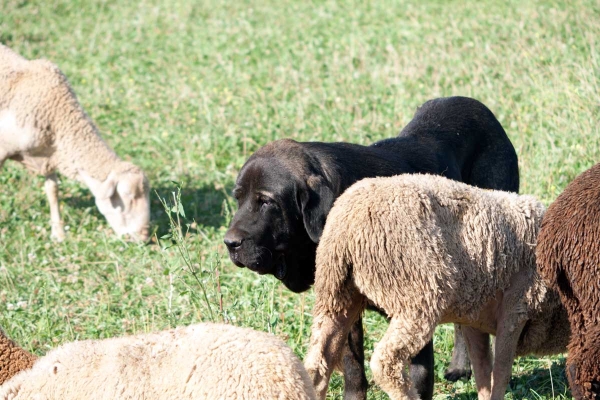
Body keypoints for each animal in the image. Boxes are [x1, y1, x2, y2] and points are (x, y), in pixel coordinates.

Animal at [223, 95, 516, 398]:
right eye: (238, 198)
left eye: (266, 201)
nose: (230, 243)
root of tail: (479, 107)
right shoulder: (345, 311)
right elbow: (354, 371)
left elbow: (419, 378)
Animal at [302, 174, 568, 400]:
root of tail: (346, 228)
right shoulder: (517, 306)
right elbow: (501, 372)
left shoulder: (474, 316)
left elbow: (483, 370)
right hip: (418, 295)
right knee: (386, 362)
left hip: (336, 293)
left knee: (319, 363)